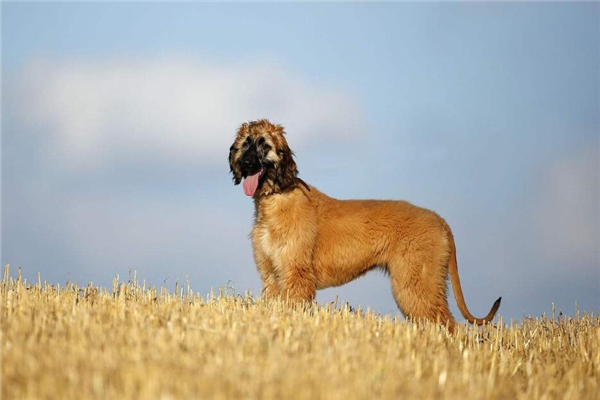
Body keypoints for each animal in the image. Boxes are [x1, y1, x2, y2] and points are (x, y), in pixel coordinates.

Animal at [227, 119, 500, 332]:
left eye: (264, 145)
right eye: (245, 144)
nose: (247, 164)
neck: (275, 197)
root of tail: (441, 220)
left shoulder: (296, 272)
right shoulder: (272, 275)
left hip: (417, 282)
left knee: (447, 324)